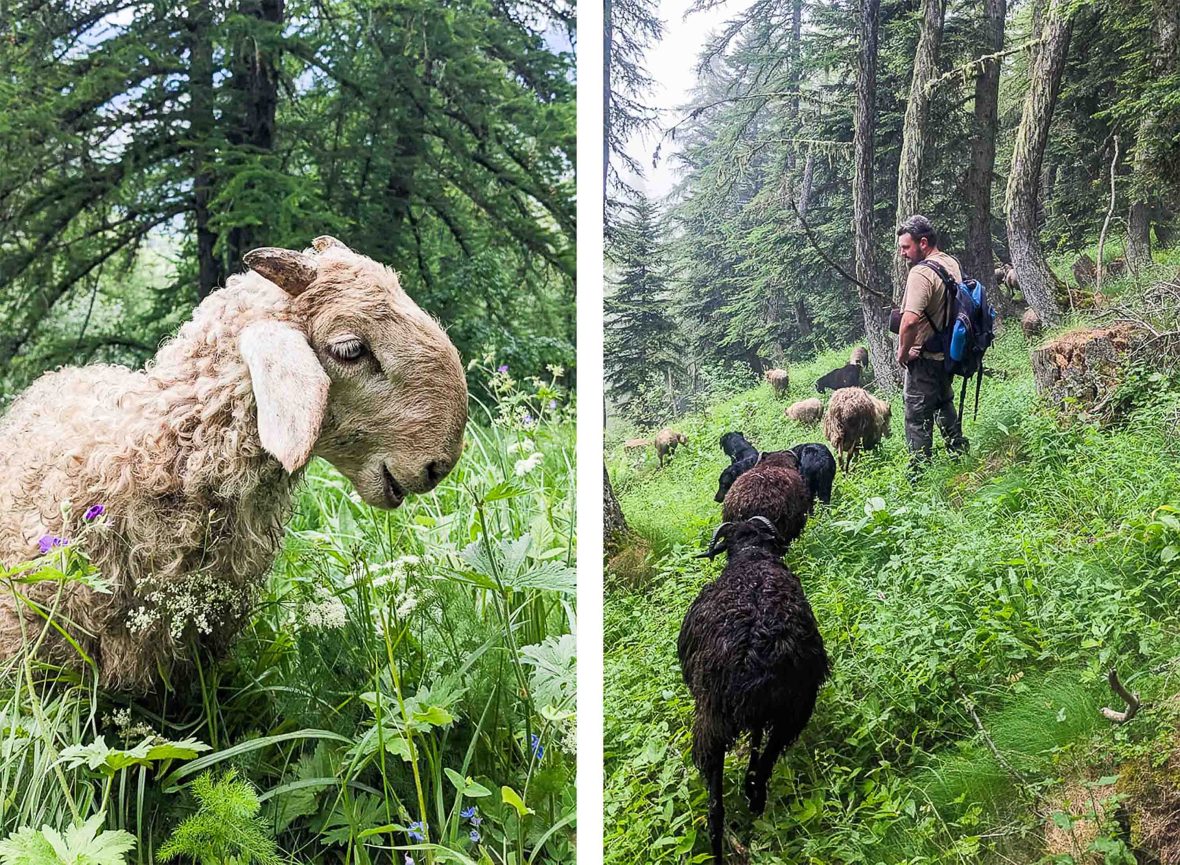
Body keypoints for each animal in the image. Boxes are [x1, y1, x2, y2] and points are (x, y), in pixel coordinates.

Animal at [679, 516, 835, 859]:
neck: (751, 558)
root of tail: (755, 650)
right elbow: (756, 743)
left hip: (712, 723)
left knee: (715, 808)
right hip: (796, 708)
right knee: (766, 759)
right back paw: (755, 797)